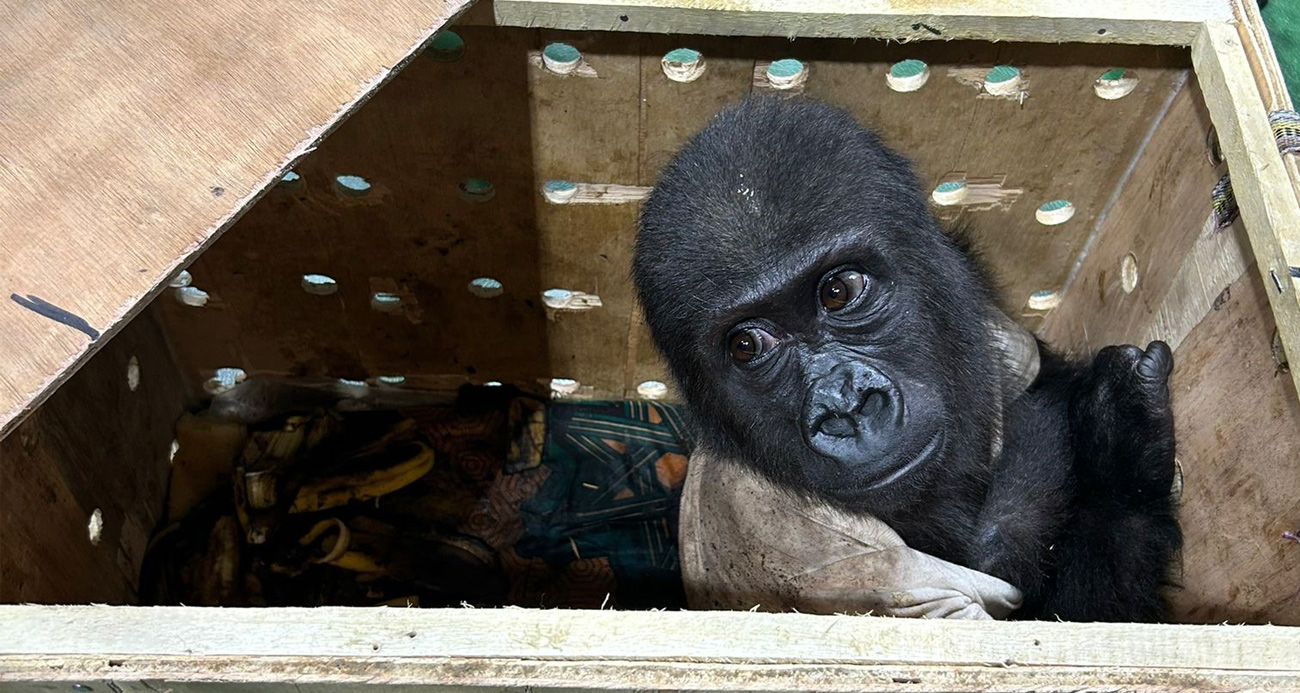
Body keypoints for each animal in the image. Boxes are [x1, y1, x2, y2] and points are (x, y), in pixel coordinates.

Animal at [634, 94, 1185, 618]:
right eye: (748, 345)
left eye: (838, 291)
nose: (846, 406)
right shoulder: (831, 557)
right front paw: (1122, 457)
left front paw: (1117, 435)